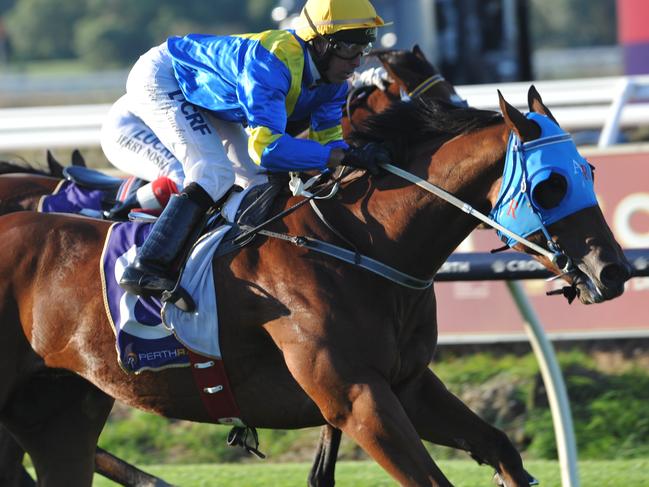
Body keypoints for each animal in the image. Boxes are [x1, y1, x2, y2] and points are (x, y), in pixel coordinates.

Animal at [0, 88, 628, 487]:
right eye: (549, 185)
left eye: (591, 171)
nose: (614, 271)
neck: (357, 242)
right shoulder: (355, 397)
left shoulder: (406, 386)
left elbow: (500, 447)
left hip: (60, 413)